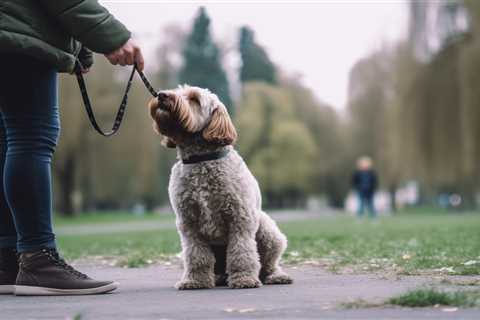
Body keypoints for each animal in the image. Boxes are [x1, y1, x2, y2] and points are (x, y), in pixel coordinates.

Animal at [150, 85, 292, 290]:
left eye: (194, 98)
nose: (161, 95)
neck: (201, 160)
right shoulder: (188, 223)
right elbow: (196, 255)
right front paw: (196, 281)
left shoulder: (240, 218)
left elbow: (241, 252)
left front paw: (244, 279)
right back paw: (217, 278)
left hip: (268, 231)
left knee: (267, 264)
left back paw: (275, 276)